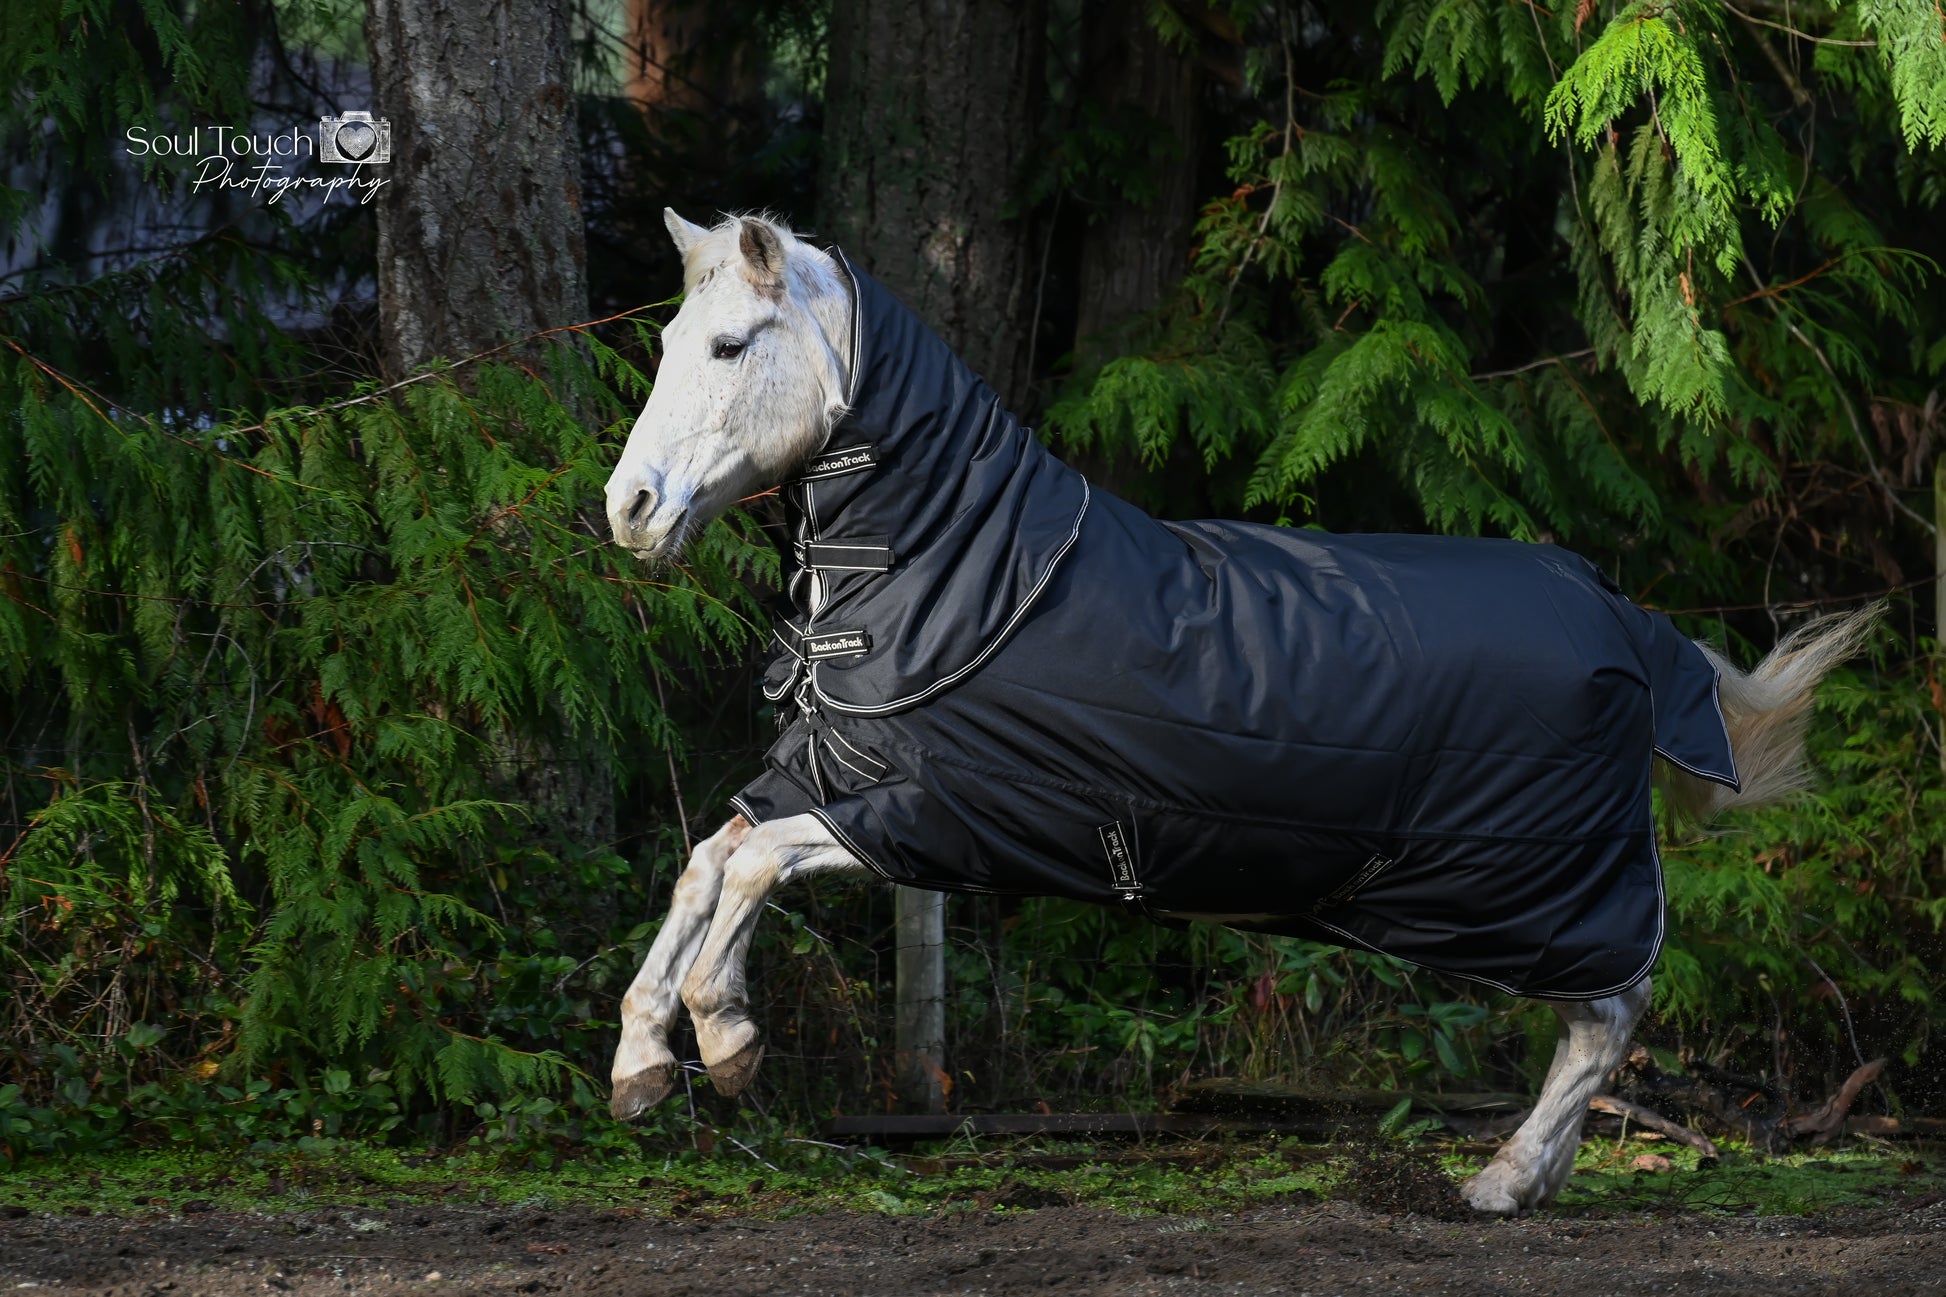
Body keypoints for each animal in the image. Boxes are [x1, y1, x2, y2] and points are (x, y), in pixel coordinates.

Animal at [601, 210, 1871, 1215]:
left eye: (728, 344)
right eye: (665, 343)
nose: (629, 509)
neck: (968, 576)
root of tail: (1623, 615)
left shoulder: (934, 812)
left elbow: (751, 864)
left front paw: (725, 1038)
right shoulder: (832, 781)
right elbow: (706, 862)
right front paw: (641, 1060)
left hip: (1543, 889)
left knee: (1610, 1011)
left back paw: (1503, 1181)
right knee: (1593, 1019)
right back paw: (1536, 1175)